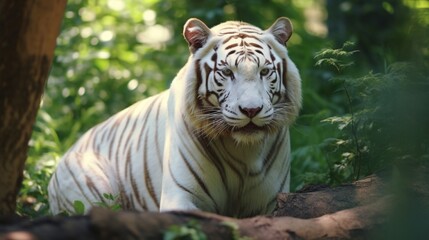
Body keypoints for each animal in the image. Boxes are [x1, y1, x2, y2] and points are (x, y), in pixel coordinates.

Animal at [47, 17, 300, 218]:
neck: (244, 151)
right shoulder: (178, 197)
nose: (251, 110)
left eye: (264, 72)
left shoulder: (271, 200)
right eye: (227, 72)